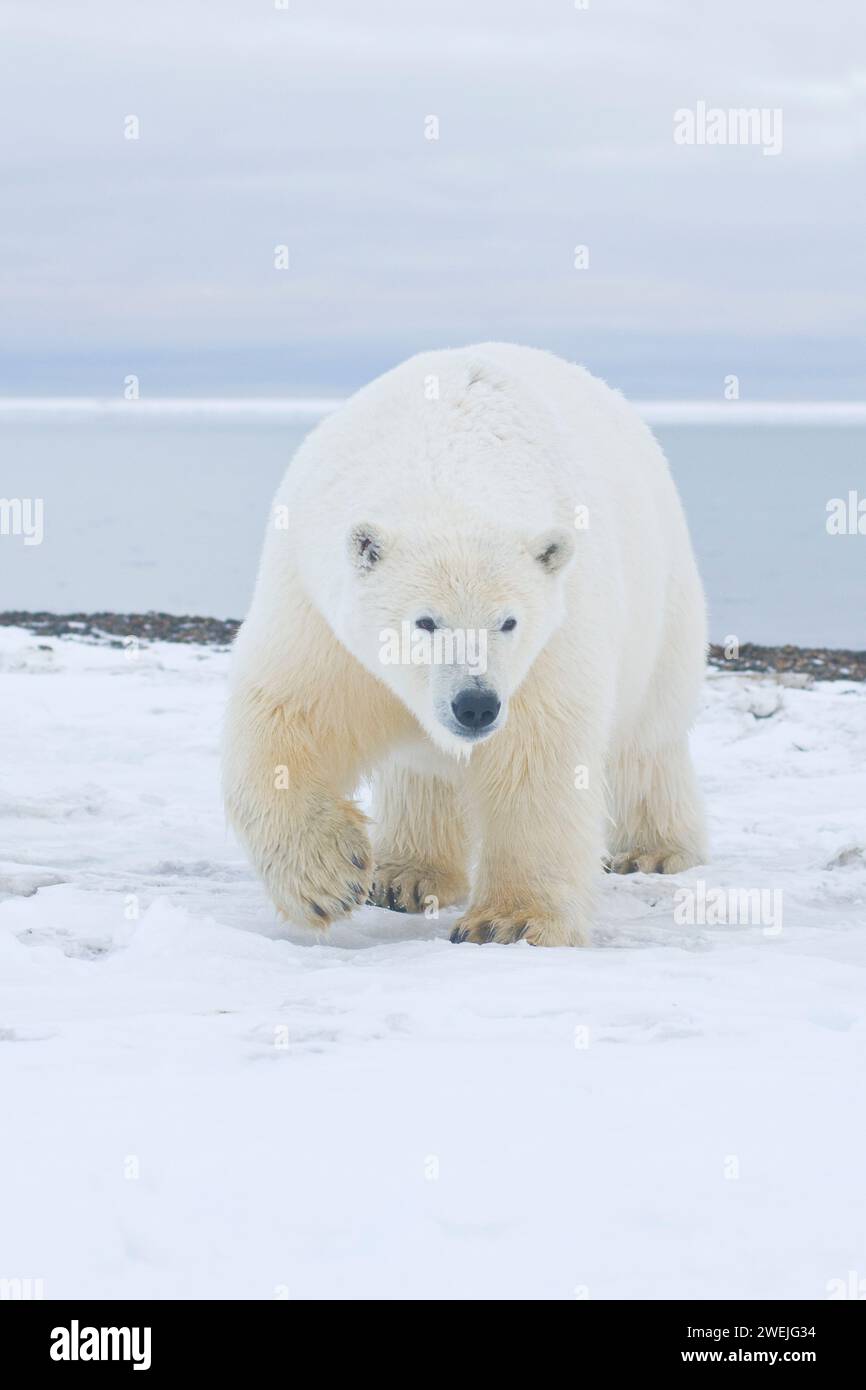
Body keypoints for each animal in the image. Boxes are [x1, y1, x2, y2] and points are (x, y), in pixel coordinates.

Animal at [225, 343, 711, 950]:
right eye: (425, 622)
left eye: (508, 622)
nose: (474, 704)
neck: (448, 454)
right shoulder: (318, 611)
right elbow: (289, 710)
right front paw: (329, 878)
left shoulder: (554, 639)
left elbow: (538, 757)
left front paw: (511, 922)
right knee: (422, 775)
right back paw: (407, 876)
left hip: (664, 601)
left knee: (651, 738)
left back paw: (654, 850)